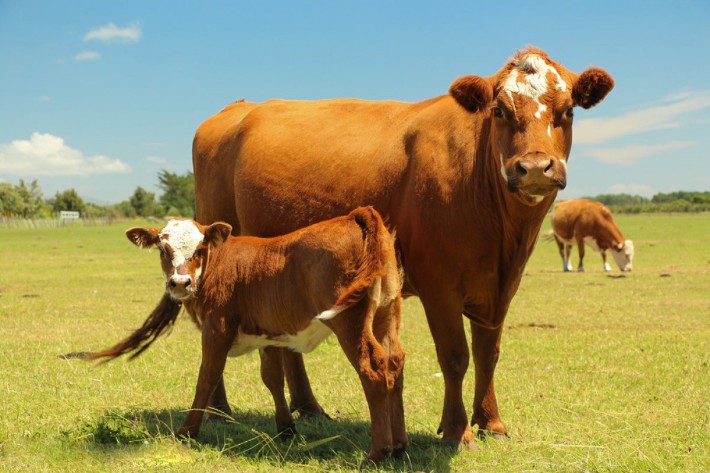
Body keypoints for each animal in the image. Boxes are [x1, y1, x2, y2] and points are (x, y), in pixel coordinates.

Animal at [87, 207, 406, 460]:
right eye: (164, 250)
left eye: (199, 250)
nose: (180, 283)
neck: (218, 264)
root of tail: (355, 215)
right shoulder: (270, 333)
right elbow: (273, 378)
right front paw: (286, 429)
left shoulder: (216, 329)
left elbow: (208, 377)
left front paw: (187, 431)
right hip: (386, 314)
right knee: (394, 364)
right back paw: (399, 446)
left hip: (349, 322)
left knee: (373, 370)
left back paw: (378, 453)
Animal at [192, 46, 616, 448]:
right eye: (499, 110)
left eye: (568, 110)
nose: (535, 168)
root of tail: (236, 109)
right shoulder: (439, 283)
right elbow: (455, 355)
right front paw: (457, 430)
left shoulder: (501, 286)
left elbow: (488, 353)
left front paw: (491, 422)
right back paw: (218, 411)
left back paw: (308, 407)